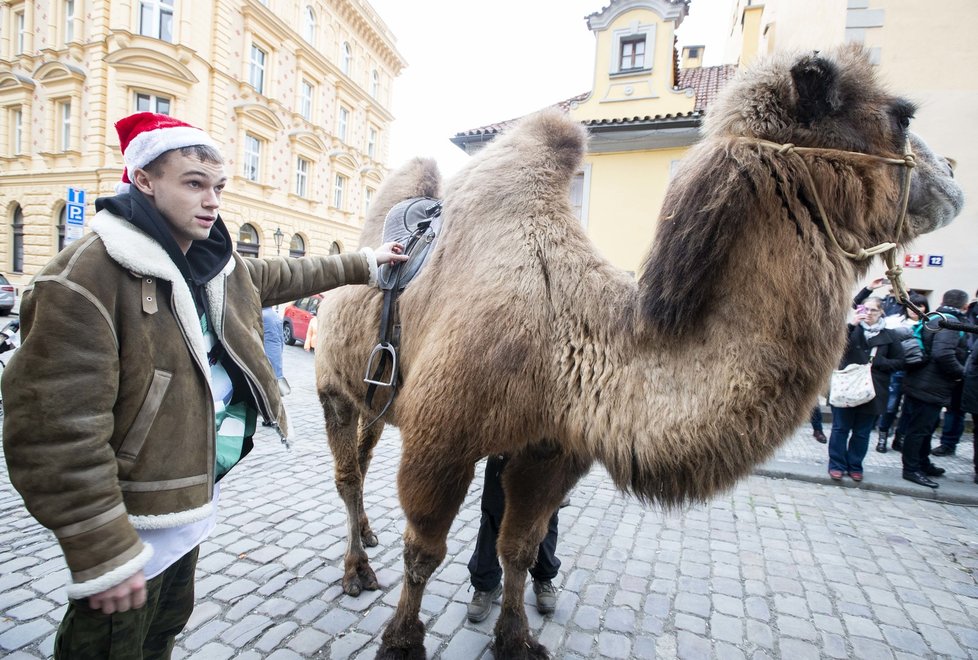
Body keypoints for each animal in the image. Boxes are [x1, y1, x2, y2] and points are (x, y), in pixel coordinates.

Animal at [312, 43, 960, 656]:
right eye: (901, 116)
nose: (953, 178)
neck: (563, 330)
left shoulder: (555, 449)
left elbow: (519, 547)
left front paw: (517, 639)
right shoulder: (441, 440)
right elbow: (424, 550)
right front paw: (401, 641)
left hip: (374, 391)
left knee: (364, 456)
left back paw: (367, 537)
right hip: (331, 383)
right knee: (346, 473)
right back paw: (357, 569)